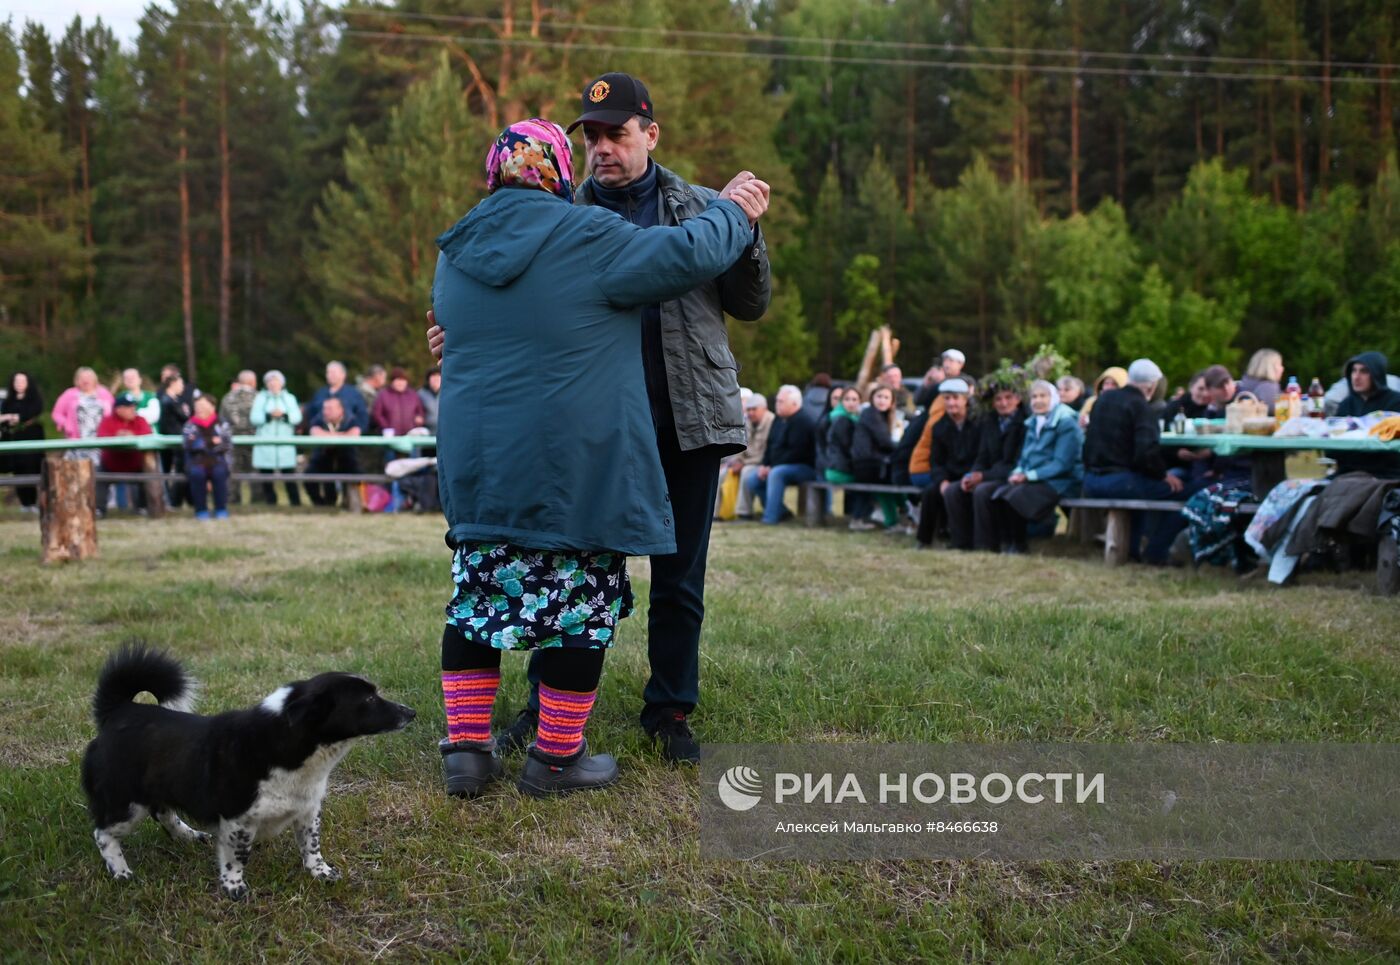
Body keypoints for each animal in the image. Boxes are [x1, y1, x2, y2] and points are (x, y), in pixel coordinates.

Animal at [81, 644, 414, 901]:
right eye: (368, 699)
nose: (411, 712)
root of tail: (120, 710)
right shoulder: (237, 820)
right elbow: (236, 856)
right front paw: (234, 888)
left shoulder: (308, 810)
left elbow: (312, 845)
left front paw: (321, 873)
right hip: (125, 803)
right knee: (103, 833)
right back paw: (121, 872)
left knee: (163, 813)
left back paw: (188, 836)